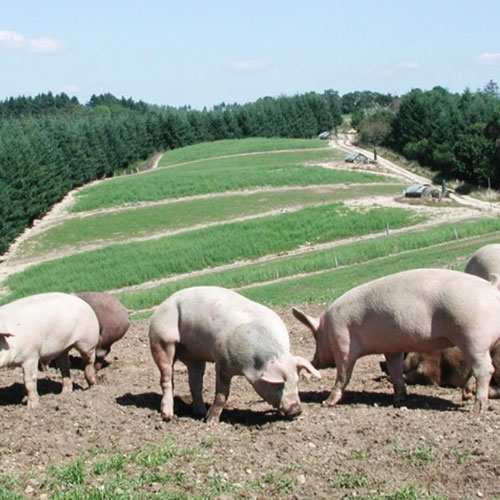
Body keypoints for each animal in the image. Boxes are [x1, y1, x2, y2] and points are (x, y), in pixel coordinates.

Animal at [148, 288, 320, 424]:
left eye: (297, 381)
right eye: (278, 385)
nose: (296, 410)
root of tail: (163, 304)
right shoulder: (222, 362)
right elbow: (222, 395)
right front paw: (211, 423)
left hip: (195, 356)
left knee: (195, 384)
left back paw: (200, 412)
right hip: (161, 340)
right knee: (166, 379)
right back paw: (168, 416)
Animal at [292, 268, 500, 412]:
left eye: (316, 336)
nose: (314, 361)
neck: (328, 328)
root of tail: (490, 287)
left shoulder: (343, 345)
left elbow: (343, 375)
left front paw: (326, 403)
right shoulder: (392, 348)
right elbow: (395, 372)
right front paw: (399, 400)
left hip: (472, 338)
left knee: (485, 370)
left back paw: (477, 409)